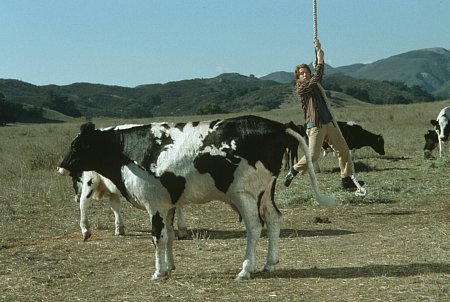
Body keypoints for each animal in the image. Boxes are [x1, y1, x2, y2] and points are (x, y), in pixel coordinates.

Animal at [57, 115, 334, 280]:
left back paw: (246, 269)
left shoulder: (154, 205)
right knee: (275, 220)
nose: (61, 166)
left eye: (77, 145)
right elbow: (169, 237)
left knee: (255, 227)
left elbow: (157, 238)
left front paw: (158, 272)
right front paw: (169, 267)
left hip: (244, 194)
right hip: (265, 193)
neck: (129, 151)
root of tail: (278, 126)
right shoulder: (168, 204)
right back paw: (269, 263)